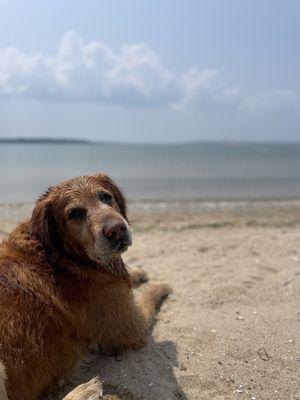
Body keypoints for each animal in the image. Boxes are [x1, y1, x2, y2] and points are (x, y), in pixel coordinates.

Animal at [0, 174, 170, 400]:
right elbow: (148, 295)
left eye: (106, 197)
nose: (117, 229)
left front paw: (138, 271)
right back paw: (85, 390)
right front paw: (162, 284)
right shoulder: (134, 327)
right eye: (75, 213)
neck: (61, 257)